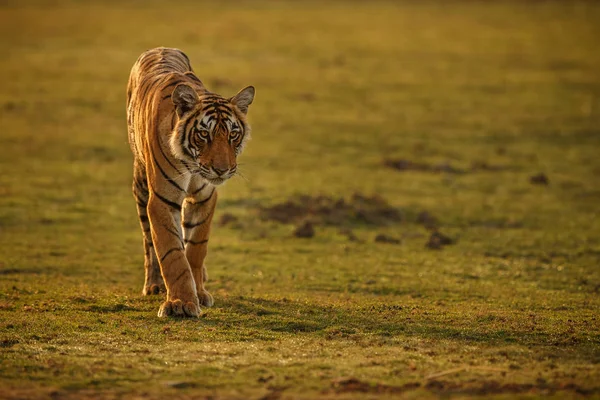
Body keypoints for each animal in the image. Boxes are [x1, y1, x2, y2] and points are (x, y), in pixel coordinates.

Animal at [127, 47, 254, 318]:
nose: (222, 169)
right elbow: (173, 254)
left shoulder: (204, 197)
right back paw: (153, 285)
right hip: (141, 184)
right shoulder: (162, 200)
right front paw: (181, 303)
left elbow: (195, 247)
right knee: (148, 241)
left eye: (233, 134)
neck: (193, 165)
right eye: (204, 134)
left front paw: (199, 292)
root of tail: (160, 48)